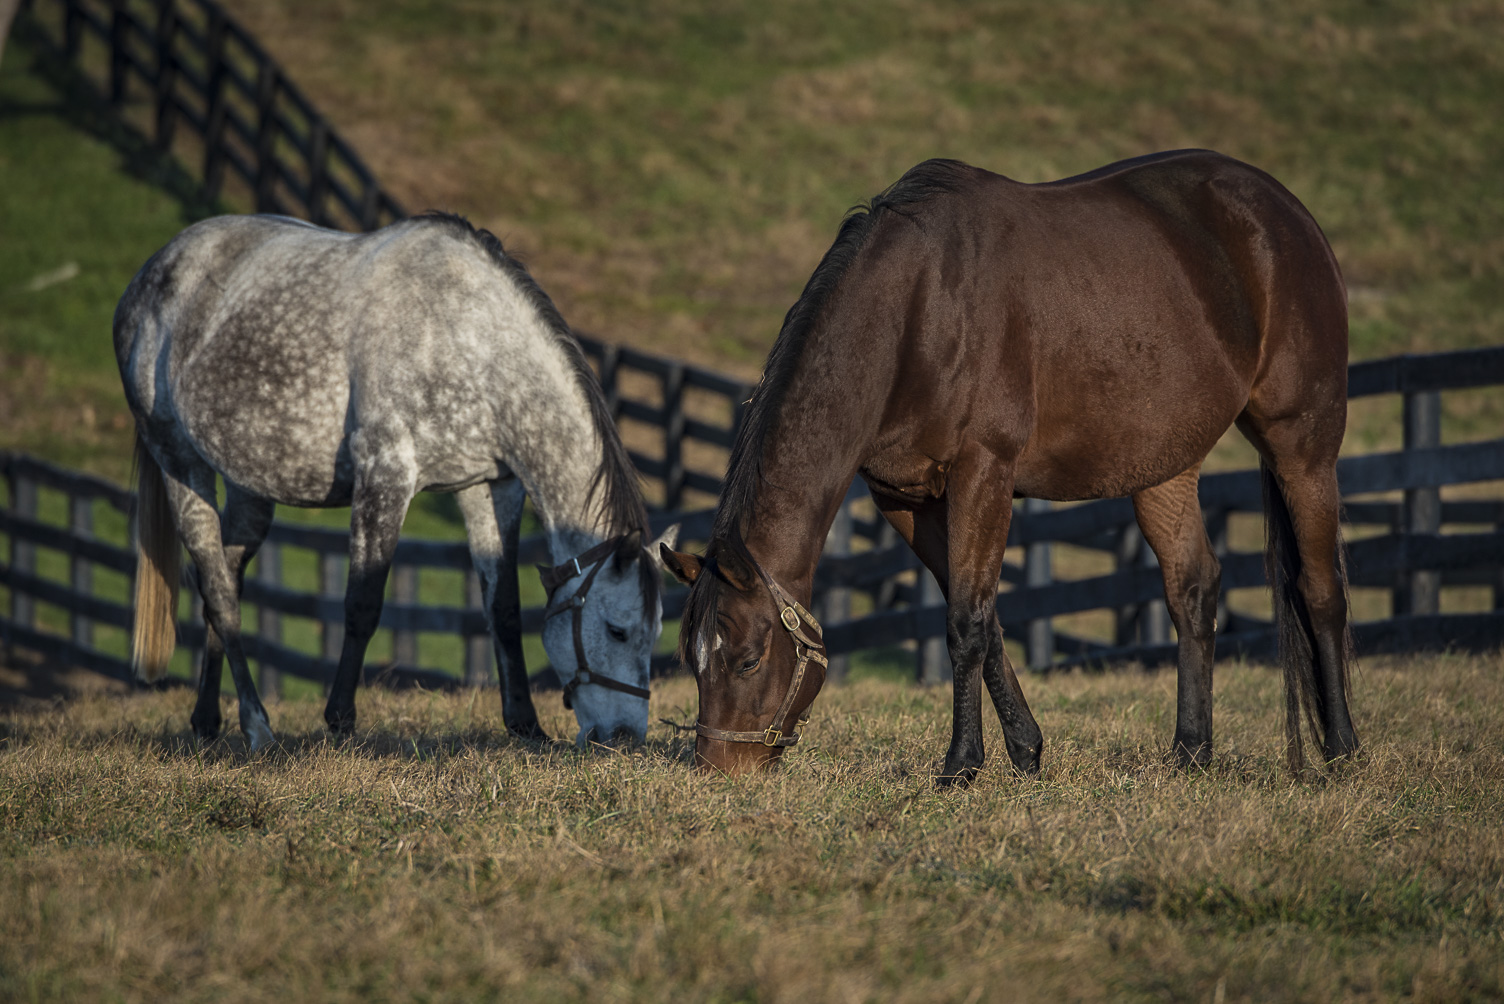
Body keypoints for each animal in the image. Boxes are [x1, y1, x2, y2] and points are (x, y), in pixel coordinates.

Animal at [115, 212, 677, 751]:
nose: (623, 738)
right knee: (218, 592)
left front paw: (525, 725)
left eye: (655, 632)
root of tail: (152, 273)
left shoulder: (491, 489)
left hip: (250, 490)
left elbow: (503, 608)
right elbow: (363, 604)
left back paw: (208, 721)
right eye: (618, 631)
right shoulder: (385, 477)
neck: (469, 340)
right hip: (181, 464)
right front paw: (340, 721)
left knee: (224, 581)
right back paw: (257, 727)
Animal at [662, 149, 1359, 783]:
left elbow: (967, 622)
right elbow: (982, 616)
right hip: (1166, 467)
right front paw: (1026, 751)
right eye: (692, 661)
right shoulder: (906, 498)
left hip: (1303, 443)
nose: (717, 771)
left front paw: (961, 765)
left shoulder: (985, 474)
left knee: (1319, 588)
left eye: (749, 660)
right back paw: (1191, 752)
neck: (918, 309)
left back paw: (1343, 750)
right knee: (1192, 585)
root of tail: (1286, 212)